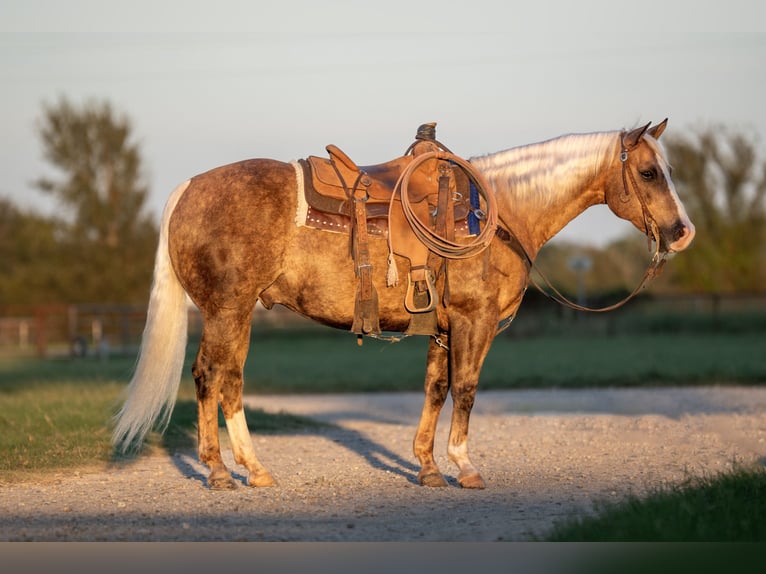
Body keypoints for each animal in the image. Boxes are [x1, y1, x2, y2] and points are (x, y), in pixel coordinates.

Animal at [112, 120, 696, 490]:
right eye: (650, 172)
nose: (682, 232)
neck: (498, 214)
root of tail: (189, 188)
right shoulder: (475, 321)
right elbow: (466, 389)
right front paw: (464, 466)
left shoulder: (443, 327)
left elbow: (436, 388)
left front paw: (428, 468)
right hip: (226, 310)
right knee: (211, 377)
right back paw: (218, 472)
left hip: (236, 314)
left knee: (229, 380)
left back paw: (253, 470)